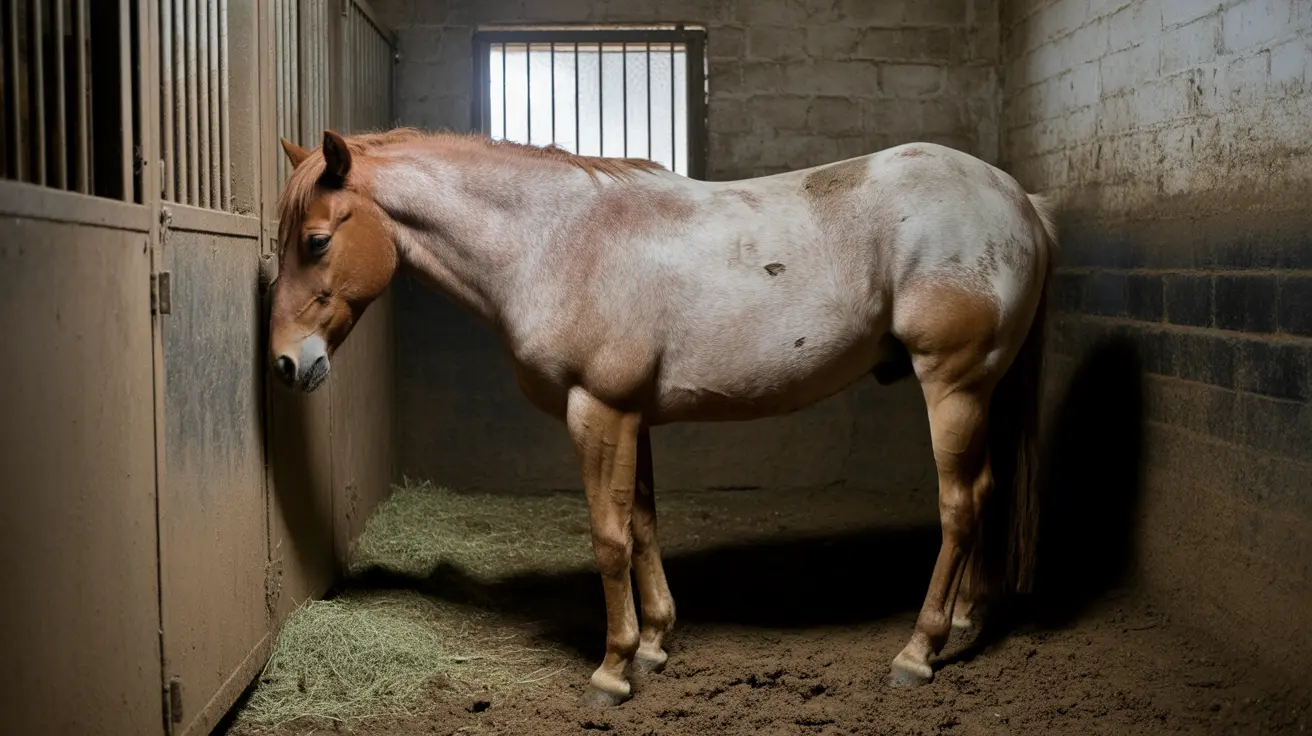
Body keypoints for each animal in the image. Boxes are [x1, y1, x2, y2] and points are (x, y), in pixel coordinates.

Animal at [269, 127, 1056, 706]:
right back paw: (967, 618)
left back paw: (919, 651)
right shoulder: (632, 417)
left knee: (961, 504)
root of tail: (1020, 201)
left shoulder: (598, 410)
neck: (556, 239)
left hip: (951, 384)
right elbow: (642, 525)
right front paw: (652, 645)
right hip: (986, 389)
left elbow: (609, 535)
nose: (284, 363)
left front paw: (612, 668)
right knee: (987, 495)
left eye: (315, 240)